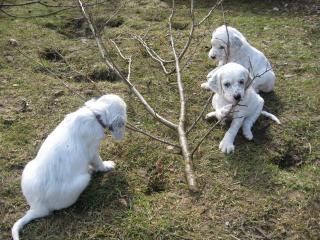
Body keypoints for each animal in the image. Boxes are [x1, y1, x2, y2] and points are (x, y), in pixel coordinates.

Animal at [12, 94, 127, 240]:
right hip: (83, 180)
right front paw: (107, 166)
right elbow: (98, 162)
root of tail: (37, 207)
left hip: (28, 167)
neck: (95, 113)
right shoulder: (93, 150)